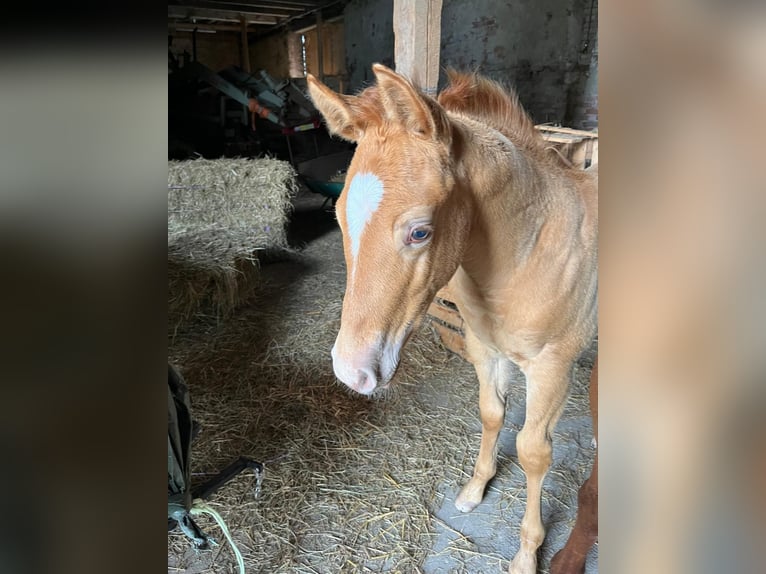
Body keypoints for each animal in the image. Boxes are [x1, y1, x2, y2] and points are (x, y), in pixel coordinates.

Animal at [307, 64, 598, 574]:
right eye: (340, 218)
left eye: (420, 231)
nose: (351, 372)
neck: (528, 253)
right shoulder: (486, 347)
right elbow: (491, 413)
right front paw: (473, 491)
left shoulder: (552, 369)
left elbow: (533, 452)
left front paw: (527, 552)